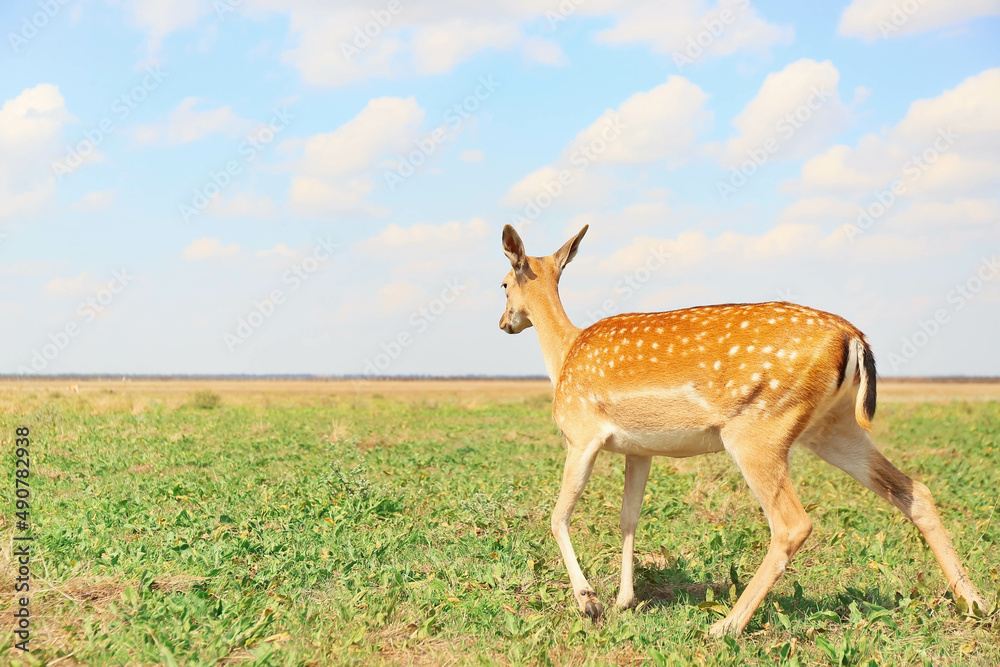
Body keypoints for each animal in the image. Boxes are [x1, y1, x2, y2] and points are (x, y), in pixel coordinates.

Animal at [496, 224, 988, 636]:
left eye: (501, 284)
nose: (504, 323)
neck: (563, 357)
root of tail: (855, 338)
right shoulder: (640, 449)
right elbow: (628, 517)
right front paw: (623, 600)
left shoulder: (581, 434)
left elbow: (558, 515)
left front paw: (589, 603)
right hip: (835, 427)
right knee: (913, 490)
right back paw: (975, 602)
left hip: (758, 430)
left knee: (793, 523)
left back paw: (725, 626)